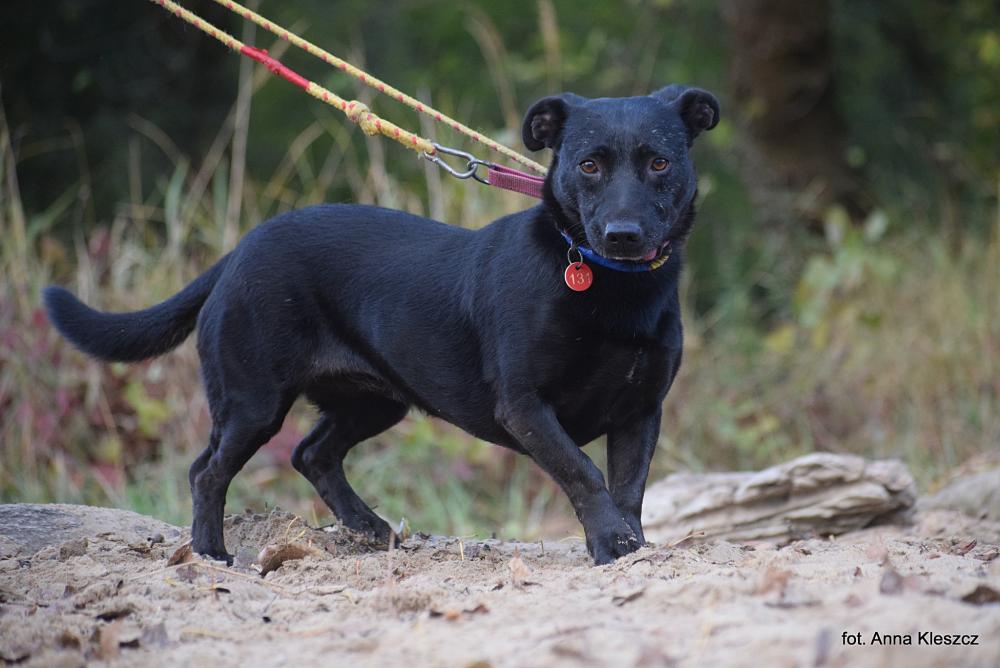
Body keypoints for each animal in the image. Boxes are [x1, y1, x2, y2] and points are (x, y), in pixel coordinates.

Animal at [44, 84, 719, 565]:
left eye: (660, 163)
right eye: (588, 165)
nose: (624, 234)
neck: (611, 286)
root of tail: (238, 253)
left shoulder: (640, 409)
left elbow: (628, 486)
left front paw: (629, 543)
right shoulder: (526, 405)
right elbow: (584, 473)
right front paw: (611, 545)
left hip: (373, 400)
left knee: (313, 454)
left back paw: (370, 529)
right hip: (254, 399)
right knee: (206, 470)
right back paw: (212, 553)